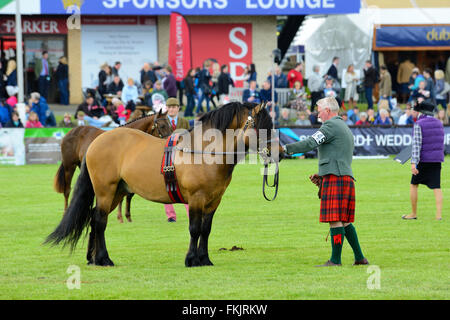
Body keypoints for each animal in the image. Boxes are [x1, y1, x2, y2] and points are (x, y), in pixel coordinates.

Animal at [44, 102, 282, 268]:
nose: (281, 152)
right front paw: (191, 259)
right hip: (105, 190)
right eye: (262, 127)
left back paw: (93, 258)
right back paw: (104, 259)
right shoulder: (196, 198)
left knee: (94, 219)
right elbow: (195, 229)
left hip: (117, 192)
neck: (203, 152)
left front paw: (204, 259)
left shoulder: (214, 201)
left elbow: (206, 230)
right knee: (99, 221)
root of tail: (96, 142)